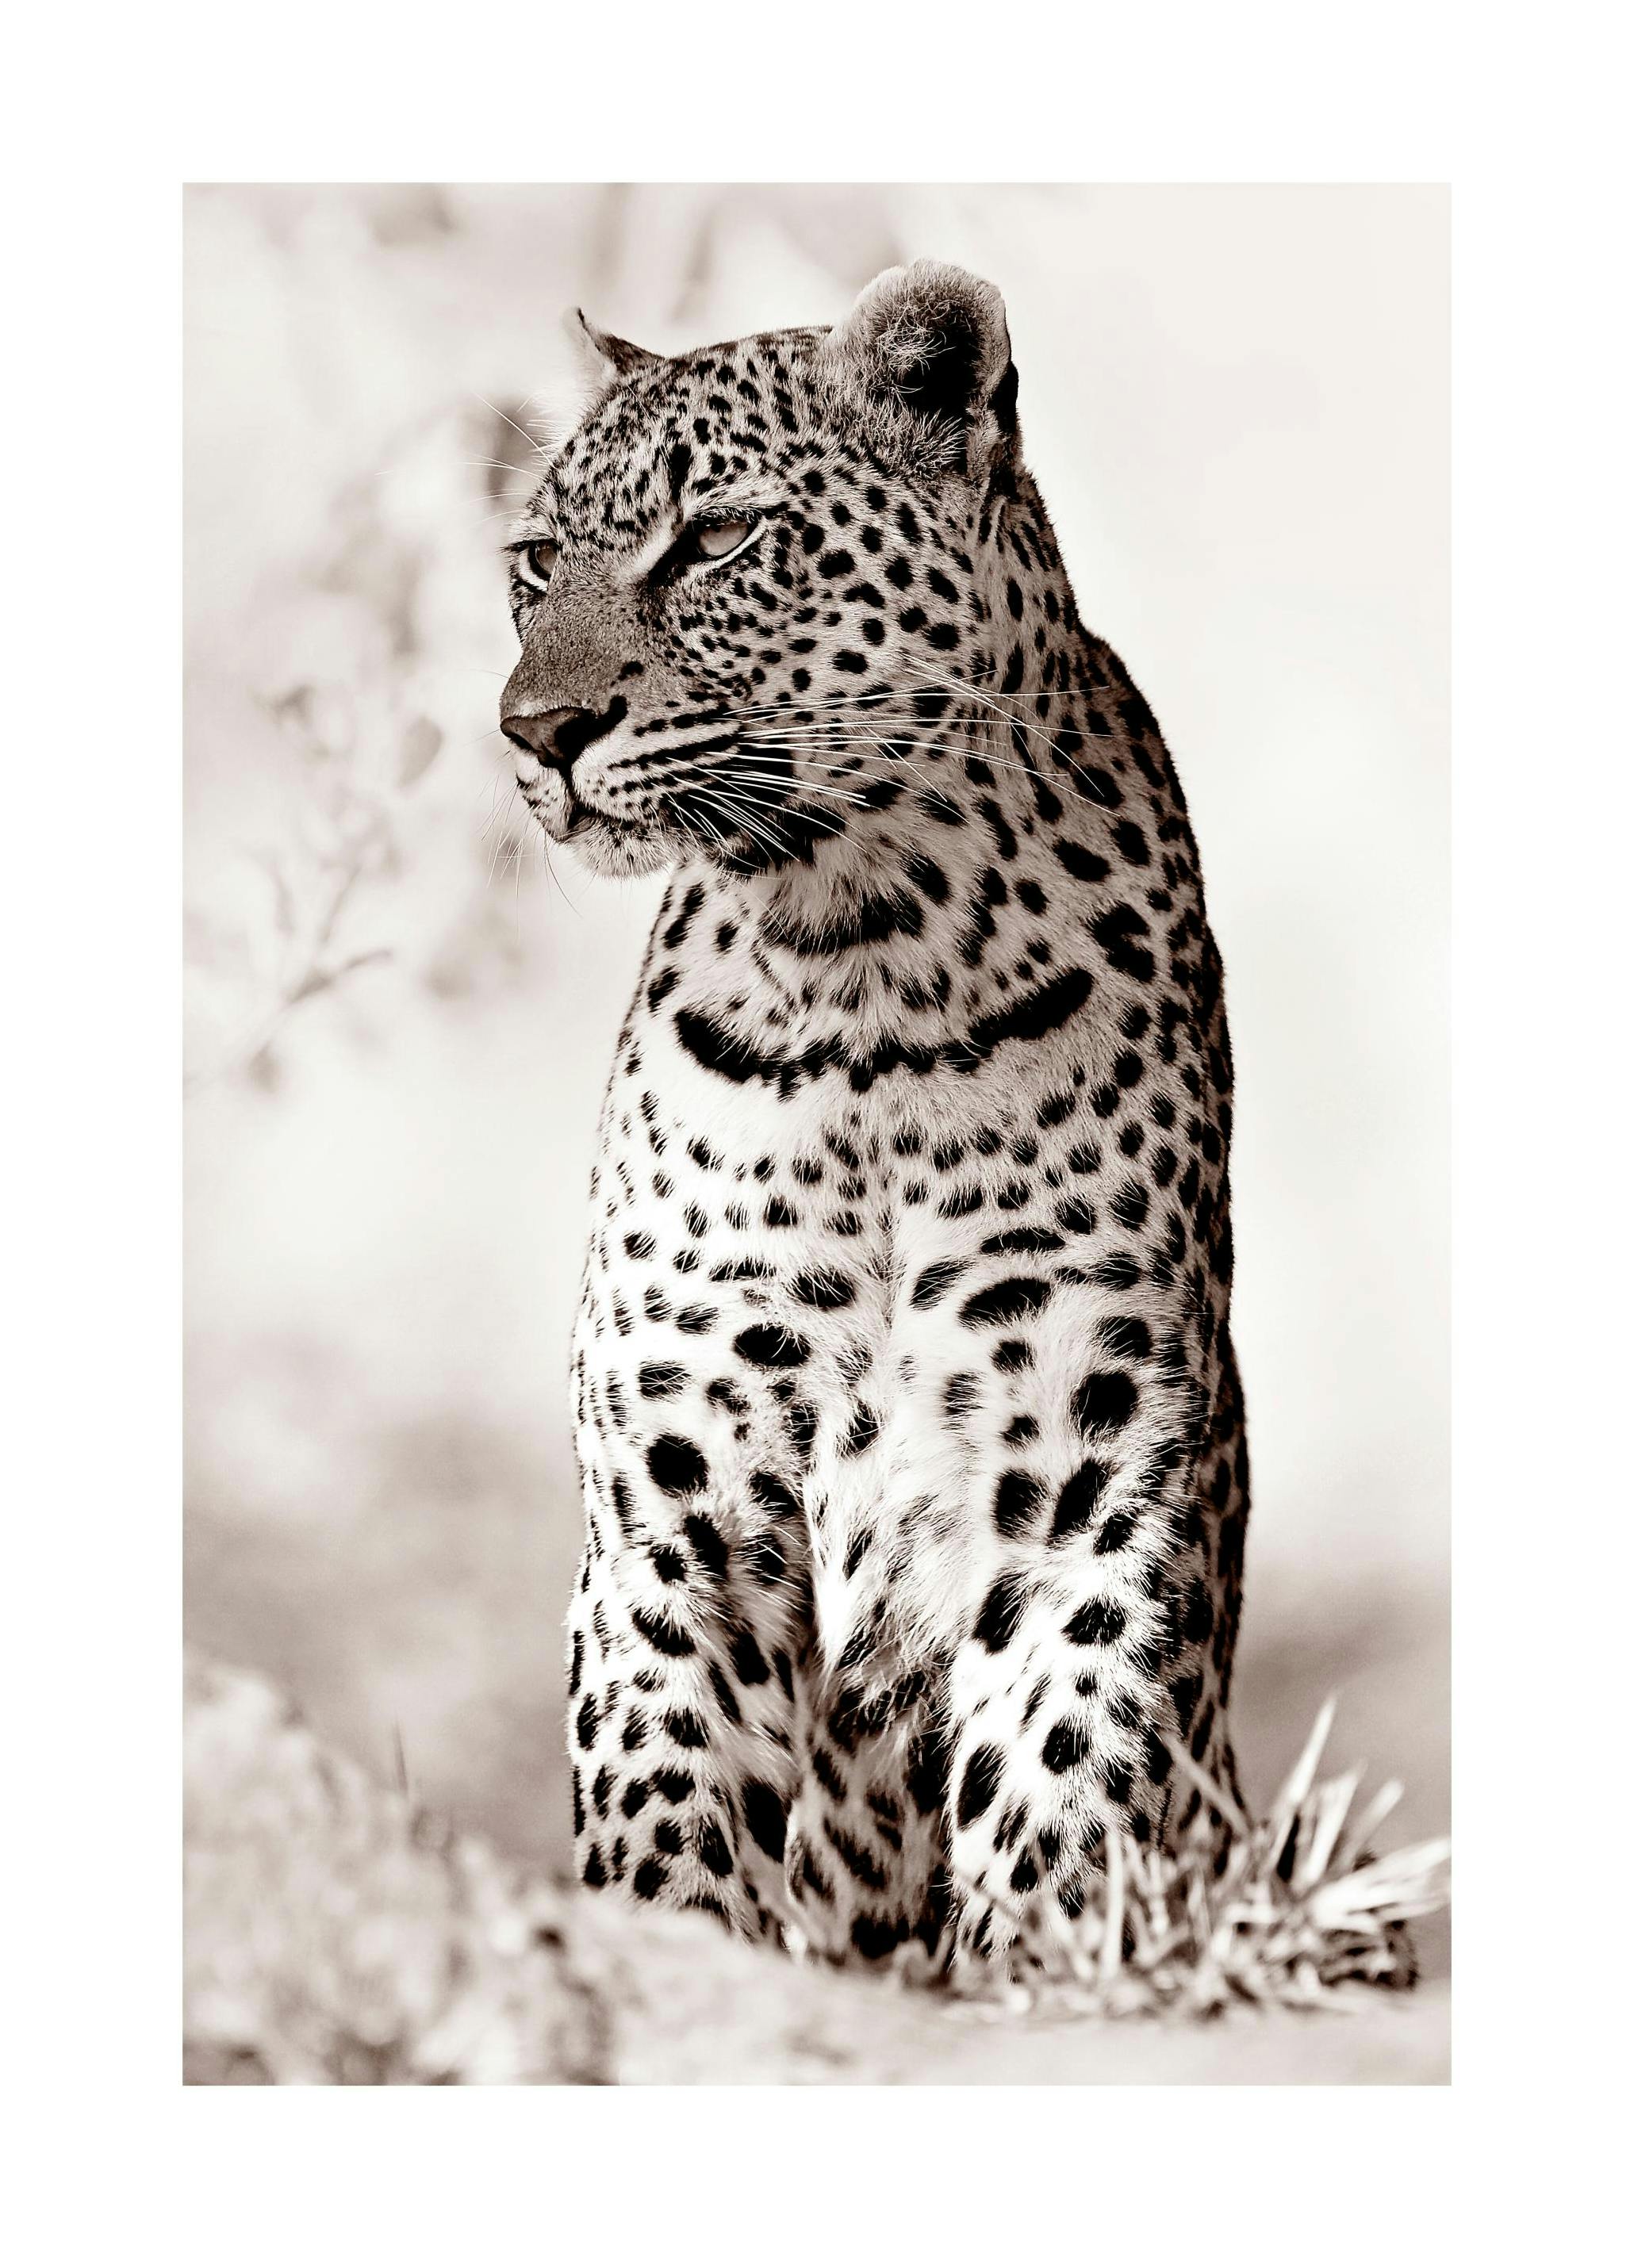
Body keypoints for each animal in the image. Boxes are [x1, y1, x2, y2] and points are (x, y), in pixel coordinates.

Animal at [499, 260, 1249, 1977]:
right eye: (532, 564)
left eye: (715, 537)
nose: (535, 731)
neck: (867, 969)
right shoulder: (672, 1502)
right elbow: (666, 1803)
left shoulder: (1088, 1478)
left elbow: (1066, 1774)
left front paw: (1053, 1976)